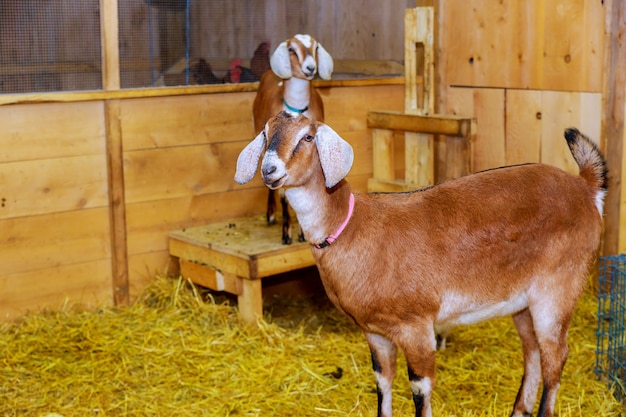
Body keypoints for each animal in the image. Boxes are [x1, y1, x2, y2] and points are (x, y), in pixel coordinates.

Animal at [252, 35, 334, 245]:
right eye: (291, 49)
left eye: (316, 47)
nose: (310, 68)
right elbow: (283, 194)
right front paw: (287, 233)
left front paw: (303, 233)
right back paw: (271, 214)